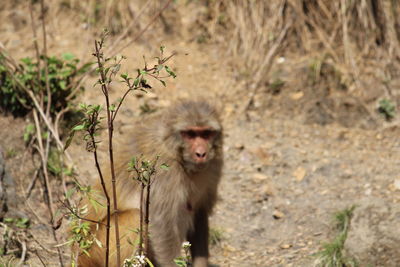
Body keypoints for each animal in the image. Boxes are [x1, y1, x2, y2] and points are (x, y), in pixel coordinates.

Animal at [76, 100, 223, 267]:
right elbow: (162, 226)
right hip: (96, 248)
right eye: (190, 134)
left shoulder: (213, 166)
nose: (201, 153)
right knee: (135, 217)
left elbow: (199, 213)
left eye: (206, 134)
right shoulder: (165, 171)